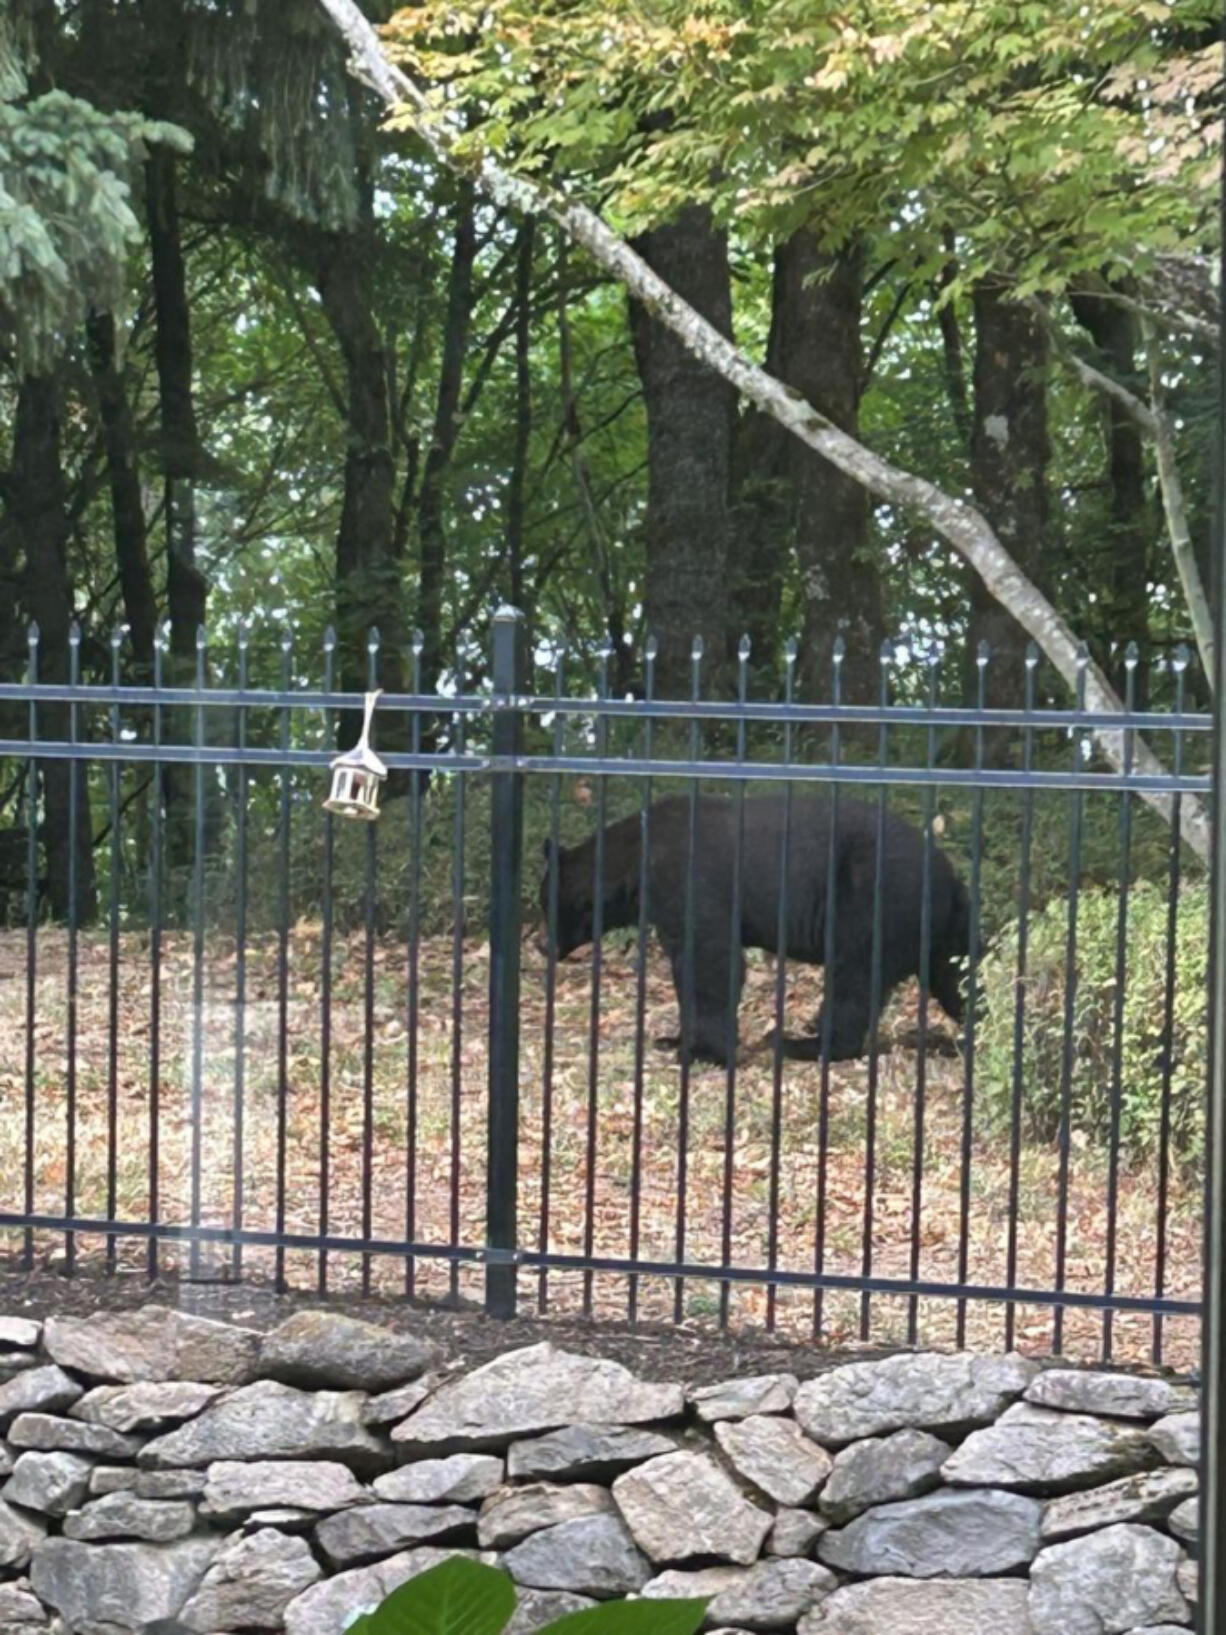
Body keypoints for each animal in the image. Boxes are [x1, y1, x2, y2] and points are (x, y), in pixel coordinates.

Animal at [542, 788, 974, 1066]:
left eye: (552, 907)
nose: (542, 947)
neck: (636, 864)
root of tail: (950, 877)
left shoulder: (693, 884)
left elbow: (712, 962)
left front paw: (702, 1052)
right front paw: (672, 1038)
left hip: (873, 902)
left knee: (854, 978)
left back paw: (799, 1043)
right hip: (940, 932)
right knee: (958, 978)